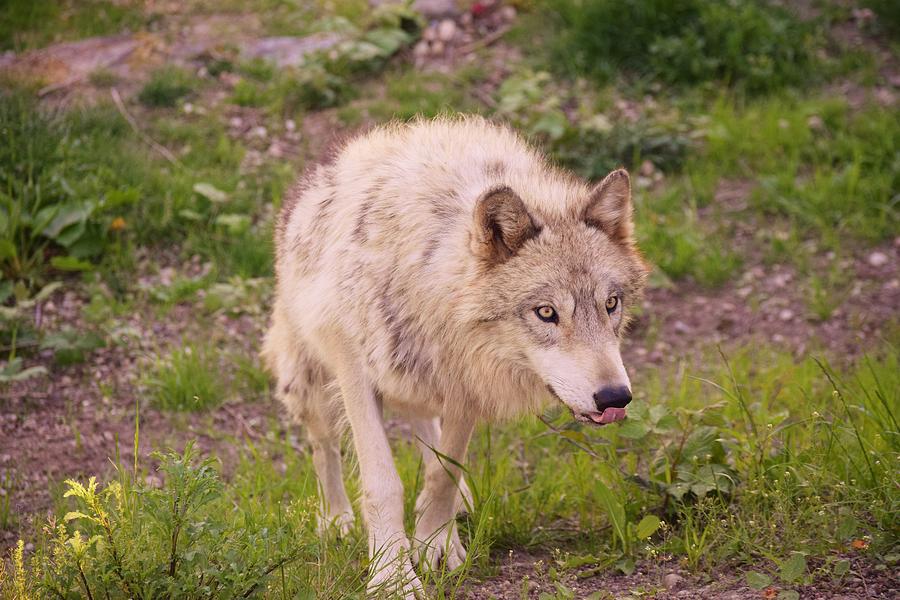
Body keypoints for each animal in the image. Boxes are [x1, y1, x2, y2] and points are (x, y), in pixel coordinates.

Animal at [260, 116, 648, 596]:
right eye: (546, 312)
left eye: (611, 304)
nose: (615, 397)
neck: (427, 279)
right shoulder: (356, 372)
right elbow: (382, 482)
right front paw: (392, 576)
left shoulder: (467, 380)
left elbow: (443, 469)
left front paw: (436, 545)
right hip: (309, 377)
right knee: (324, 446)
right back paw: (336, 520)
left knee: (423, 425)